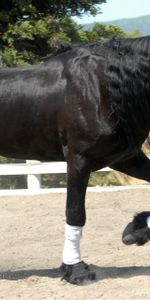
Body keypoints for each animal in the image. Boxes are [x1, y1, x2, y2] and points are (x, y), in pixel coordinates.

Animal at [0, 35, 150, 284]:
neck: (102, 88)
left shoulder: (125, 158)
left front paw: (136, 229)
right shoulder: (79, 160)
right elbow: (76, 212)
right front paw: (75, 269)